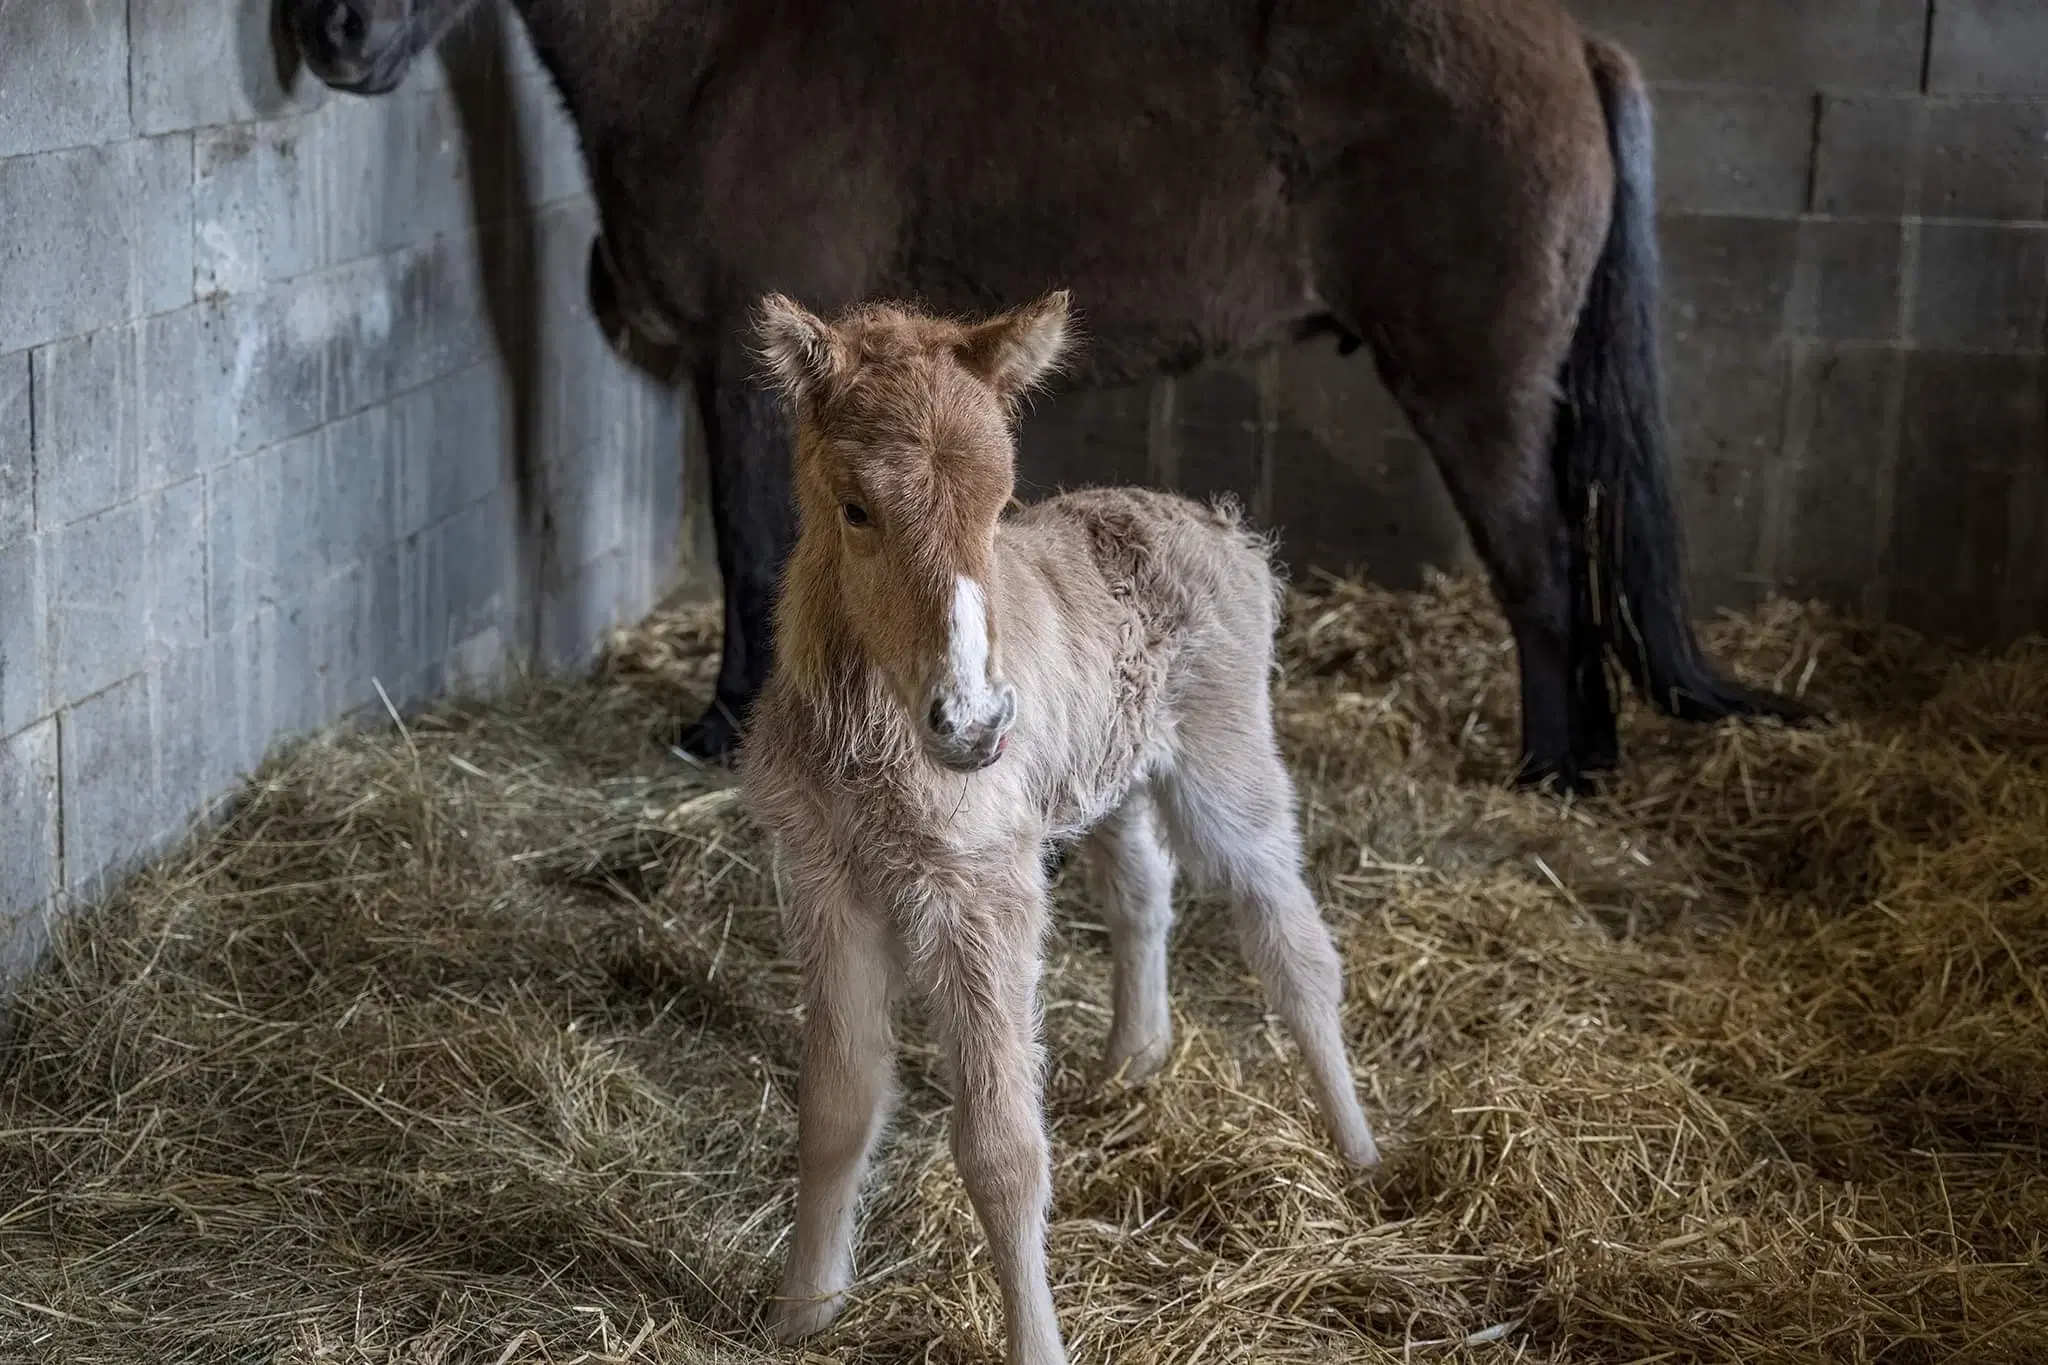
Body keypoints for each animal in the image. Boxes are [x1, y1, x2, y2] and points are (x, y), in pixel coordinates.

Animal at [284, 0, 1810, 789]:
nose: (337, 35)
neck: (709, 52)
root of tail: (1572, 44)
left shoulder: (742, 371)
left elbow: (748, 547)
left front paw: (725, 726)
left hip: (1476, 387)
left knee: (1544, 566)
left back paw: (1553, 768)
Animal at [737, 294, 1376, 1358]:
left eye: (1001, 506)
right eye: (856, 508)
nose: (974, 722)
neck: (871, 731)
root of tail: (1217, 523)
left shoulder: (984, 889)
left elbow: (1001, 1146)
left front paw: (1036, 1341)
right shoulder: (829, 880)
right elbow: (837, 1103)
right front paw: (803, 1307)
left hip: (1224, 757)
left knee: (1290, 938)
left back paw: (1362, 1152)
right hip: (1111, 778)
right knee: (1145, 890)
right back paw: (1134, 1060)